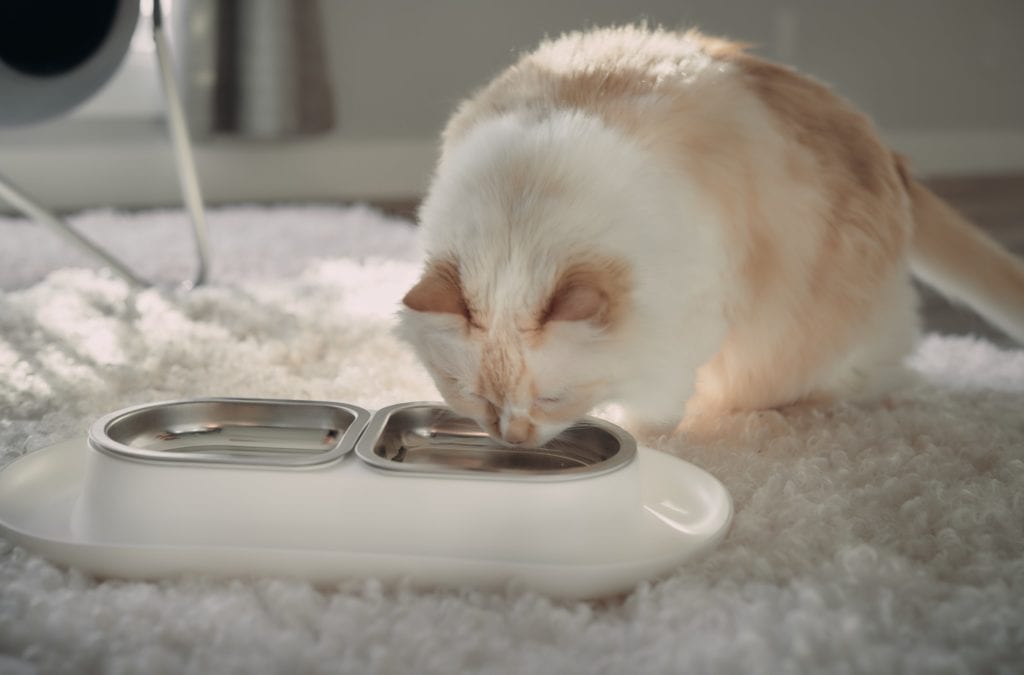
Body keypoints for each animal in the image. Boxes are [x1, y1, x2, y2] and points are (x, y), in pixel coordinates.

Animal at [395, 25, 1024, 448]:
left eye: (552, 399)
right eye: (477, 399)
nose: (514, 440)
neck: (523, 209)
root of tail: (892, 159)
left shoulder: (683, 328)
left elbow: (655, 410)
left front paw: (648, 444)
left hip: (829, 338)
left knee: (889, 364)